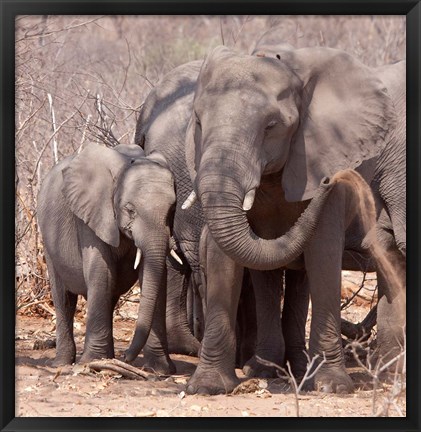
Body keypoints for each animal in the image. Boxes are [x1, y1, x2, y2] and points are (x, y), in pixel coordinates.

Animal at [37, 143, 178, 374]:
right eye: (130, 209)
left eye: (172, 210)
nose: (127, 356)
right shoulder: (91, 215)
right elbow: (101, 271)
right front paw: (92, 362)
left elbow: (157, 276)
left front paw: (160, 370)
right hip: (48, 240)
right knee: (64, 298)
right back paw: (63, 363)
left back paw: (108, 360)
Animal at [183, 44, 400, 394]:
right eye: (199, 122)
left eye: (272, 126)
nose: (332, 180)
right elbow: (220, 257)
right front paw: (206, 387)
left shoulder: (324, 156)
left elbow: (323, 252)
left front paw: (331, 387)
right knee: (270, 277)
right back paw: (265, 369)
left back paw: (298, 369)